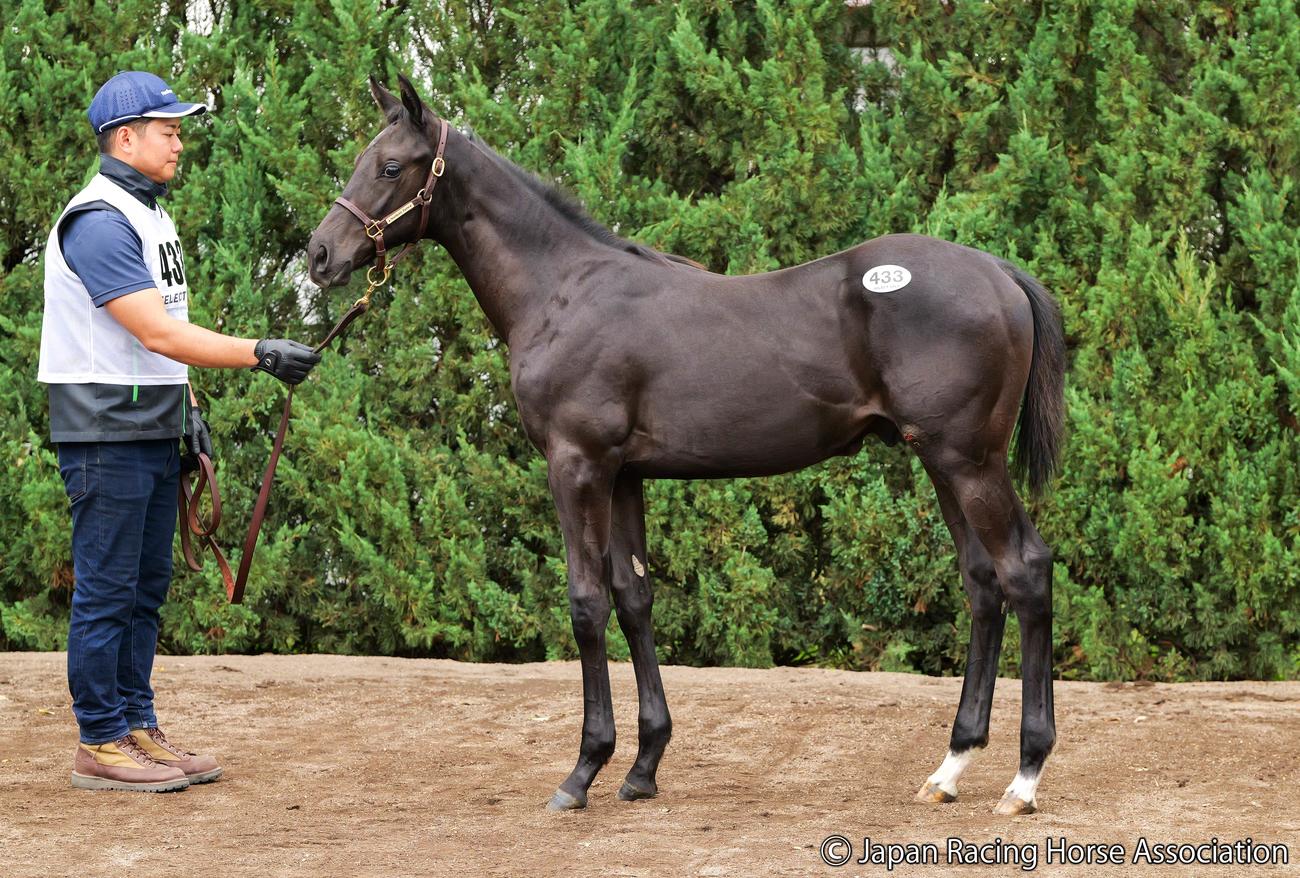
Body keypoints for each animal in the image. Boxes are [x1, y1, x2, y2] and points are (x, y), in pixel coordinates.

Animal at [307, 74, 1066, 817]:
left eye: (391, 166)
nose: (319, 256)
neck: (563, 292)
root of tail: (999, 272)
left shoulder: (576, 464)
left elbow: (587, 602)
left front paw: (582, 771)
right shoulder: (624, 475)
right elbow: (634, 596)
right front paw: (642, 766)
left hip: (968, 462)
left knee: (1025, 570)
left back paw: (1024, 778)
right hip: (941, 461)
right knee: (983, 583)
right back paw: (951, 767)